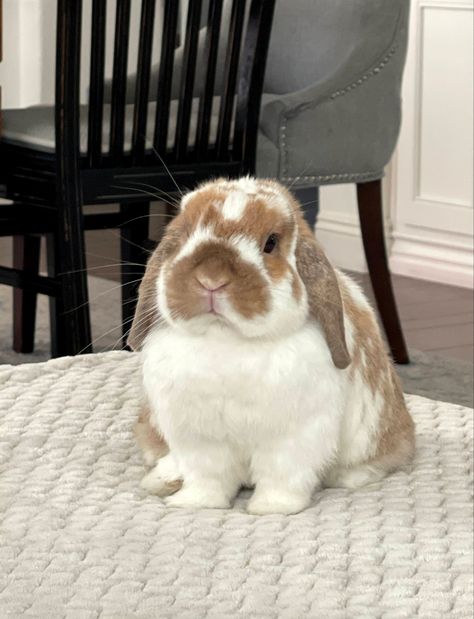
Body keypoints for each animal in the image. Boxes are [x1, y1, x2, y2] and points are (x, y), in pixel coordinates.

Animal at [128, 177, 412, 516]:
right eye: (184, 235)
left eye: (271, 243)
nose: (211, 279)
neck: (226, 340)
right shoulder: (200, 439)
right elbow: (208, 478)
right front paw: (194, 503)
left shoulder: (293, 438)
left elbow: (282, 477)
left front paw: (269, 509)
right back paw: (161, 480)